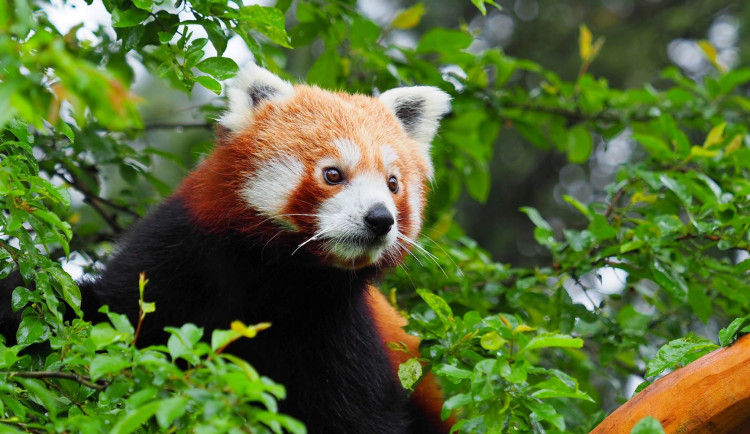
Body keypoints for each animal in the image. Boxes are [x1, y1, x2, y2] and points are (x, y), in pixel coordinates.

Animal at [2, 62, 456, 432]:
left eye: (393, 184)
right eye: (332, 174)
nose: (380, 219)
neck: (276, 276)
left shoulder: (342, 330)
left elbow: (361, 415)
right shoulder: (174, 256)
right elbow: (104, 308)